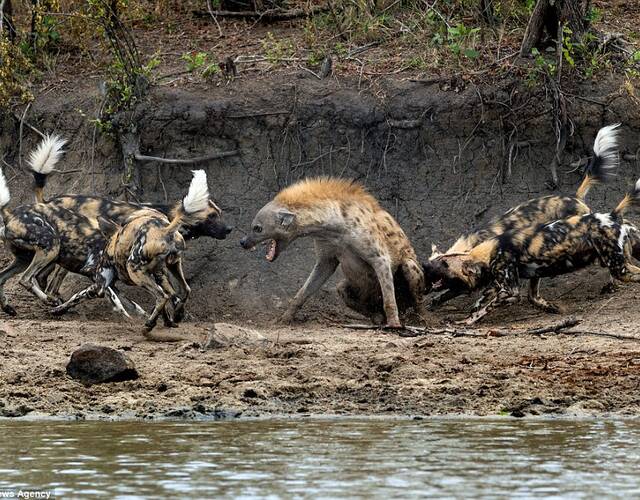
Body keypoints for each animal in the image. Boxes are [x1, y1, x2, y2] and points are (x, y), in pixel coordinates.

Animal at [50, 171, 210, 332]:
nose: (85, 268)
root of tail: (165, 230)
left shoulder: (100, 285)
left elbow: (76, 296)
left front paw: (57, 310)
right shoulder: (156, 276)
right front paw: (169, 321)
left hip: (134, 270)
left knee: (162, 296)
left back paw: (149, 324)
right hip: (172, 267)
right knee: (183, 290)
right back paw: (175, 315)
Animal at [239, 177, 424, 328]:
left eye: (257, 228)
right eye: (252, 226)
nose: (242, 242)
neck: (334, 228)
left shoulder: (379, 257)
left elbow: (388, 296)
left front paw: (394, 324)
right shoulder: (326, 256)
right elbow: (304, 290)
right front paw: (285, 318)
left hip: (410, 269)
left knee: (416, 297)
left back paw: (417, 319)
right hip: (349, 287)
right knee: (343, 290)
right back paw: (377, 317)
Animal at [422, 123, 624, 306]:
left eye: (438, 268)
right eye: (430, 266)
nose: (423, 270)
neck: (471, 247)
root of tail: (575, 197)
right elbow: (452, 291)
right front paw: (437, 302)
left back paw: (610, 285)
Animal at [442, 178, 640, 326]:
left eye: (447, 277)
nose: (436, 295)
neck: (489, 250)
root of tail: (612, 215)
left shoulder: (510, 291)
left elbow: (484, 308)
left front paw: (468, 322)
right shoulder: (512, 280)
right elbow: (479, 303)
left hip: (619, 268)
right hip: (622, 259)